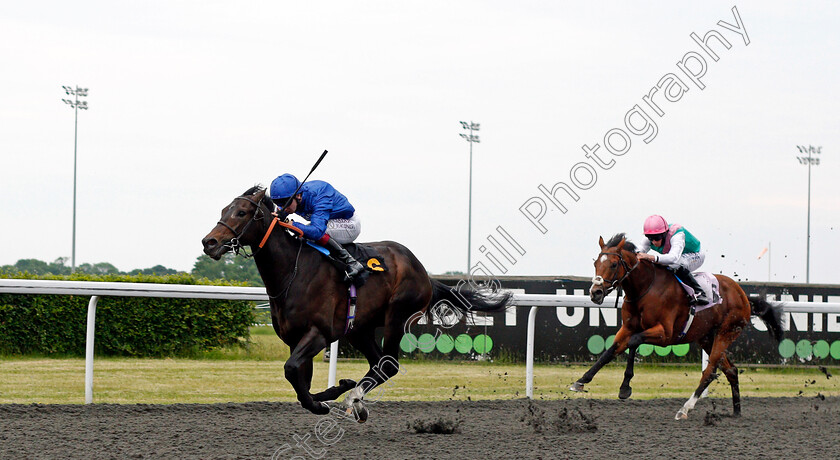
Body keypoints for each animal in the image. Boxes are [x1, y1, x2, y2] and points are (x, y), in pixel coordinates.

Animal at [202, 187, 512, 420]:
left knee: (389, 365)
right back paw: (355, 396)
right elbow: (300, 381)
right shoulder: (295, 339)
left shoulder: (319, 333)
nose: (209, 242)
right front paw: (329, 394)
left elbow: (291, 371)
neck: (293, 271)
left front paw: (326, 400)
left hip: (397, 315)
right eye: (223, 211)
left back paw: (354, 396)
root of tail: (423, 272)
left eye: (242, 212)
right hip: (359, 329)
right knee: (378, 364)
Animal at [568, 235, 784, 418]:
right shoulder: (628, 328)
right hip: (706, 337)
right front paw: (581, 381)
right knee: (731, 370)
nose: (595, 293)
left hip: (727, 332)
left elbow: (634, 342)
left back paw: (685, 408)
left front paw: (625, 387)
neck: (645, 288)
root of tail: (743, 295)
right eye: (595, 263)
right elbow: (611, 350)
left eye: (613, 264)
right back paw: (736, 412)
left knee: (710, 371)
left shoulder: (665, 334)